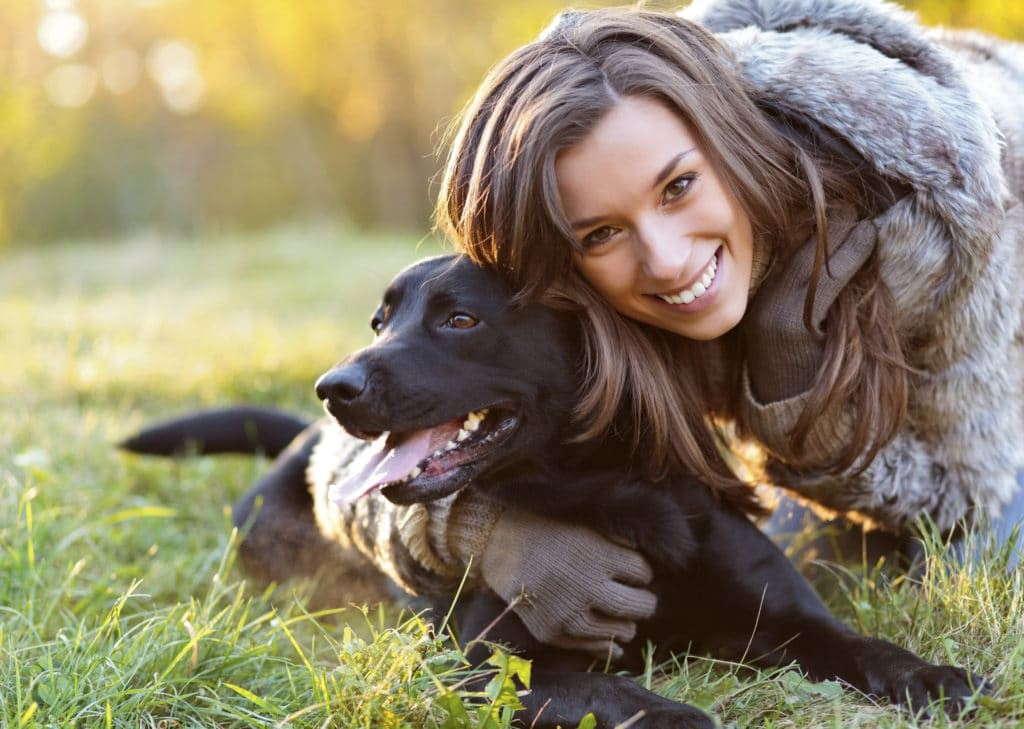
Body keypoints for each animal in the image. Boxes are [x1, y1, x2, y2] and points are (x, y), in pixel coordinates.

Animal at [123, 254, 987, 724]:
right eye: (379, 322)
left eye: (461, 319)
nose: (335, 386)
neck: (618, 502)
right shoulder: (479, 663)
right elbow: (602, 687)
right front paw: (671, 713)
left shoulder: (786, 621)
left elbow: (866, 645)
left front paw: (933, 675)